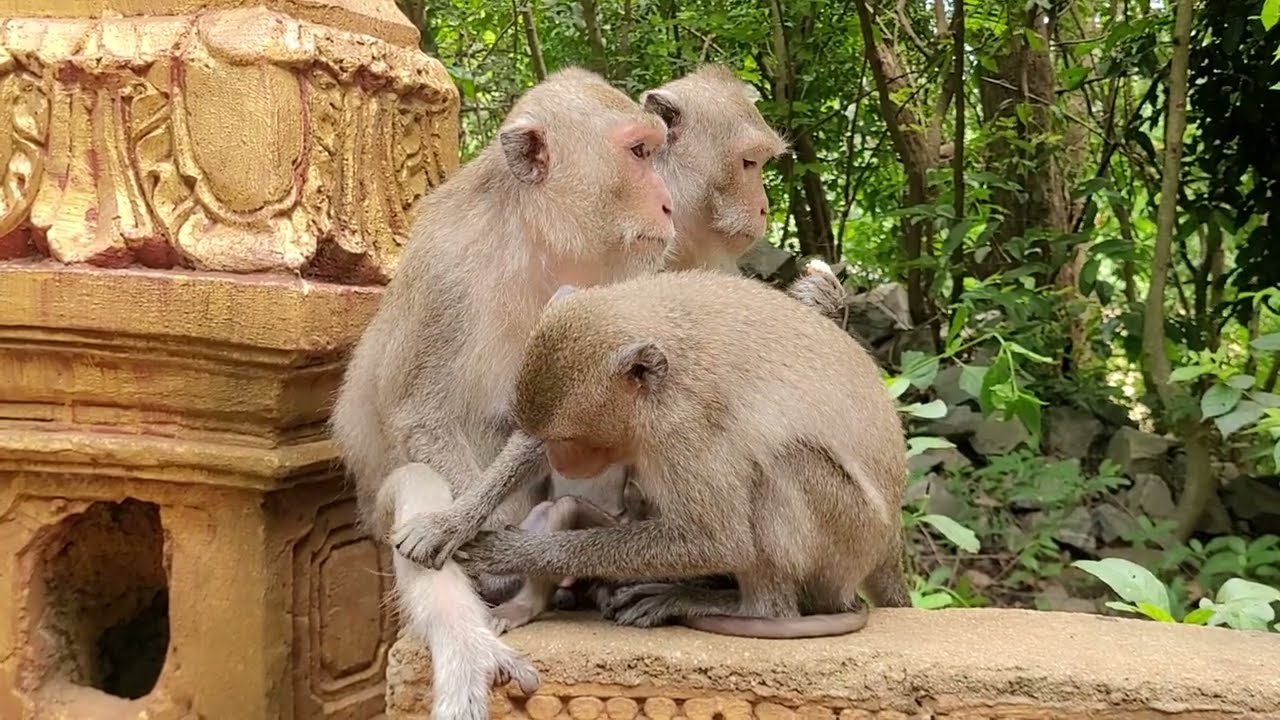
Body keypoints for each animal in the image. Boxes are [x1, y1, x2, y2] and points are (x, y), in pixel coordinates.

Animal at [329, 67, 676, 712]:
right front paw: (477, 545)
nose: (669, 204)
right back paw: (472, 643)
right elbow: (424, 418)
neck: (536, 238)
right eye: (639, 153)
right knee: (417, 482)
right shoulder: (447, 273)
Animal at [394, 269, 911, 638]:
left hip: (847, 543)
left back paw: (744, 608)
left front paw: (508, 552)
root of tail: (889, 546)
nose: (561, 461)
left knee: (783, 464)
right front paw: (451, 523)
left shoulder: (688, 425)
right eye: (554, 439)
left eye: (571, 440)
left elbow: (718, 539)